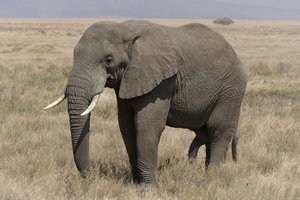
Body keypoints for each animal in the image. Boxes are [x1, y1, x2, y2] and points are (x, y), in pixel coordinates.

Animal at [44, 19, 246, 184]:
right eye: (74, 55)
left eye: (108, 60)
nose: (90, 175)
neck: (124, 29)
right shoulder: (128, 80)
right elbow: (126, 126)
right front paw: (135, 183)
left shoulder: (162, 80)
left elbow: (146, 125)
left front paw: (148, 188)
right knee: (206, 134)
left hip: (231, 90)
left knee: (218, 130)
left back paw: (211, 179)